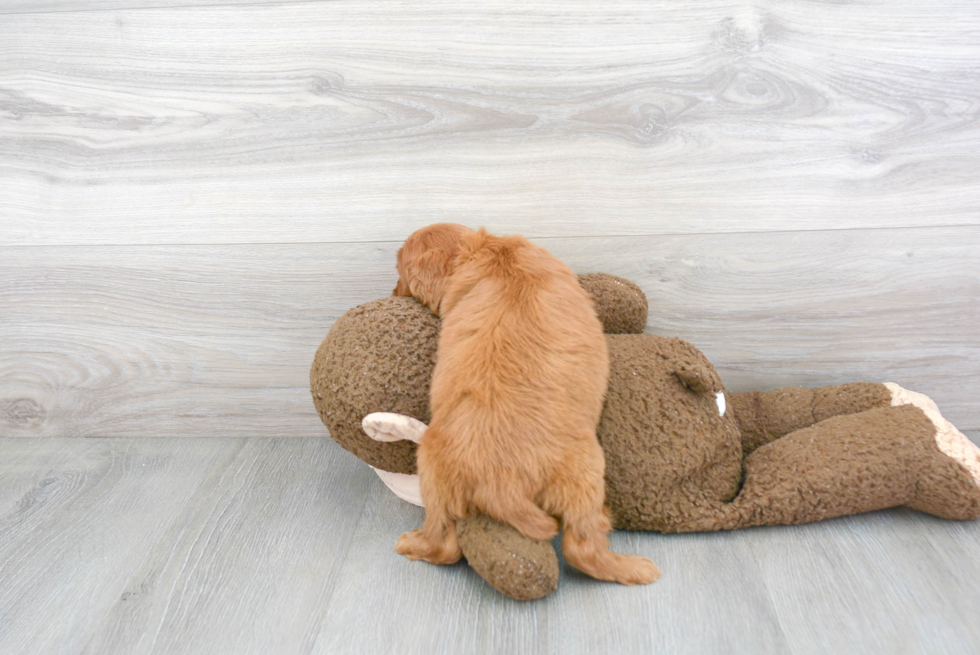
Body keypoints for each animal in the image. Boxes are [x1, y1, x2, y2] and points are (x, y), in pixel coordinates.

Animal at [390, 223, 660, 588]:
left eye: (399, 271)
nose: (393, 293)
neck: (486, 250)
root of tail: (500, 483)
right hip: (587, 472)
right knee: (583, 548)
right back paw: (634, 567)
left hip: (431, 467)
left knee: (443, 542)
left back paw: (413, 543)